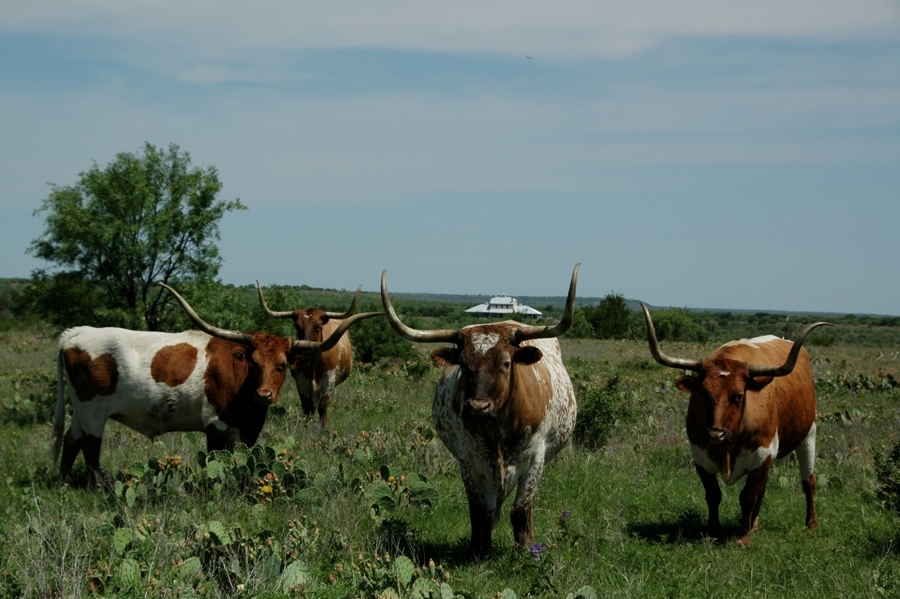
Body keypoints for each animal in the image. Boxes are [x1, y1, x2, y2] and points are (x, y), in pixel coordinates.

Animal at [255, 282, 364, 426]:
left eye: (317, 328)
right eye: (297, 327)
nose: (305, 347)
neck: (313, 365)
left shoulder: (329, 380)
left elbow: (323, 407)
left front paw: (324, 428)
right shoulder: (301, 381)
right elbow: (307, 408)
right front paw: (306, 427)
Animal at [378, 264, 576, 556]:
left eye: (506, 363)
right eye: (463, 363)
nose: (477, 406)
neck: (498, 432)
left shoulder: (536, 458)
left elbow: (520, 510)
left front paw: (527, 552)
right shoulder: (468, 460)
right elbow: (479, 510)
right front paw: (478, 550)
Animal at [640, 302, 828, 548]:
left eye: (739, 395)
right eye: (703, 393)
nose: (715, 435)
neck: (728, 447)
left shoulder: (763, 453)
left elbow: (747, 496)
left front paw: (742, 535)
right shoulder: (699, 455)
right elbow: (714, 494)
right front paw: (713, 531)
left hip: (808, 433)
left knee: (809, 482)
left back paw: (811, 524)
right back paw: (755, 524)